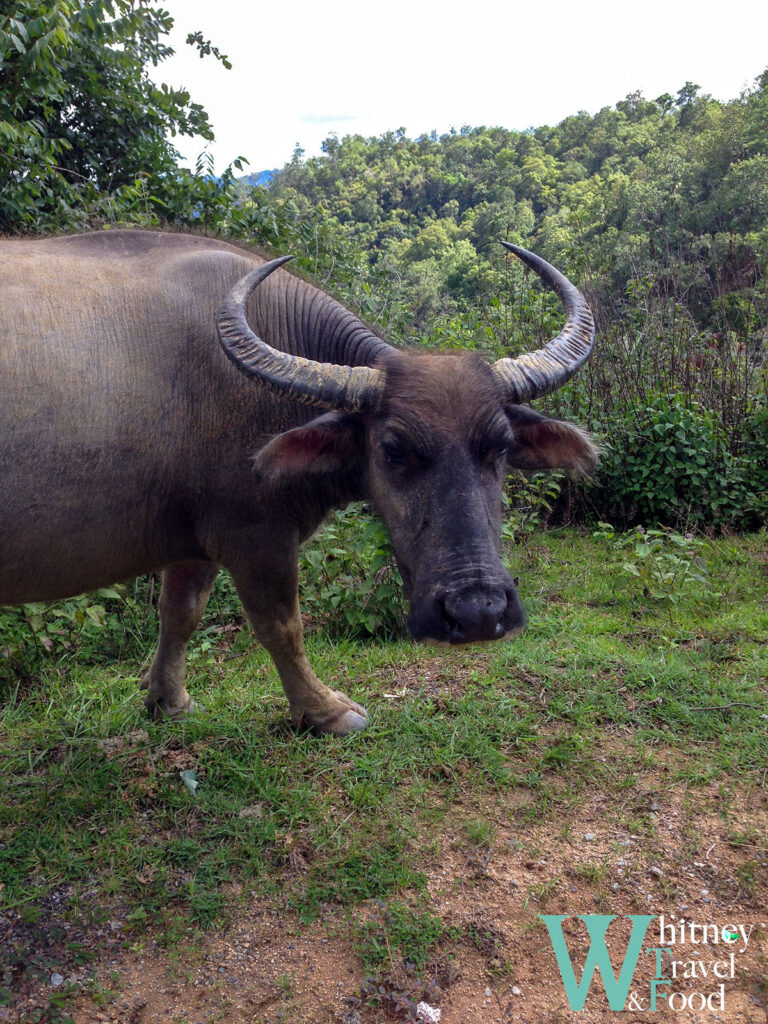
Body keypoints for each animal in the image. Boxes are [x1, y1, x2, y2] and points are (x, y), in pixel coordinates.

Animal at [0, 232, 593, 733]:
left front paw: (168, 700)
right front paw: (326, 712)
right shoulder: (253, 535)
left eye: (501, 447)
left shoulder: (194, 542)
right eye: (393, 451)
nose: (477, 612)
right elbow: (281, 624)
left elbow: (180, 613)